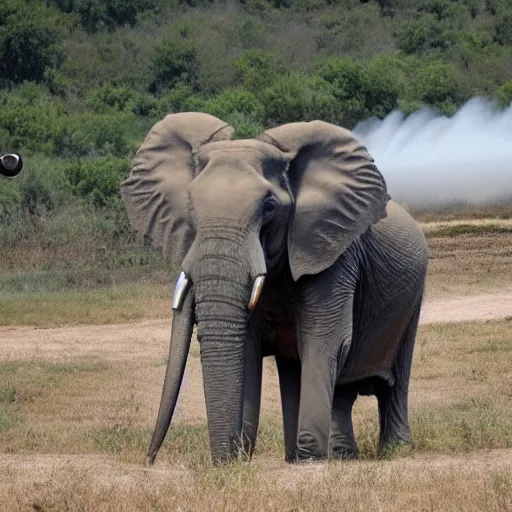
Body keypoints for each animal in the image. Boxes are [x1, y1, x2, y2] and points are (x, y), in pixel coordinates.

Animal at [120, 112, 428, 464]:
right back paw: (337, 455)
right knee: (327, 383)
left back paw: (391, 450)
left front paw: (310, 458)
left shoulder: (333, 252)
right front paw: (248, 455)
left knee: (395, 378)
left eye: (269, 207)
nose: (149, 459)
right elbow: (247, 344)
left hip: (415, 294)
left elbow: (325, 339)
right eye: (191, 206)